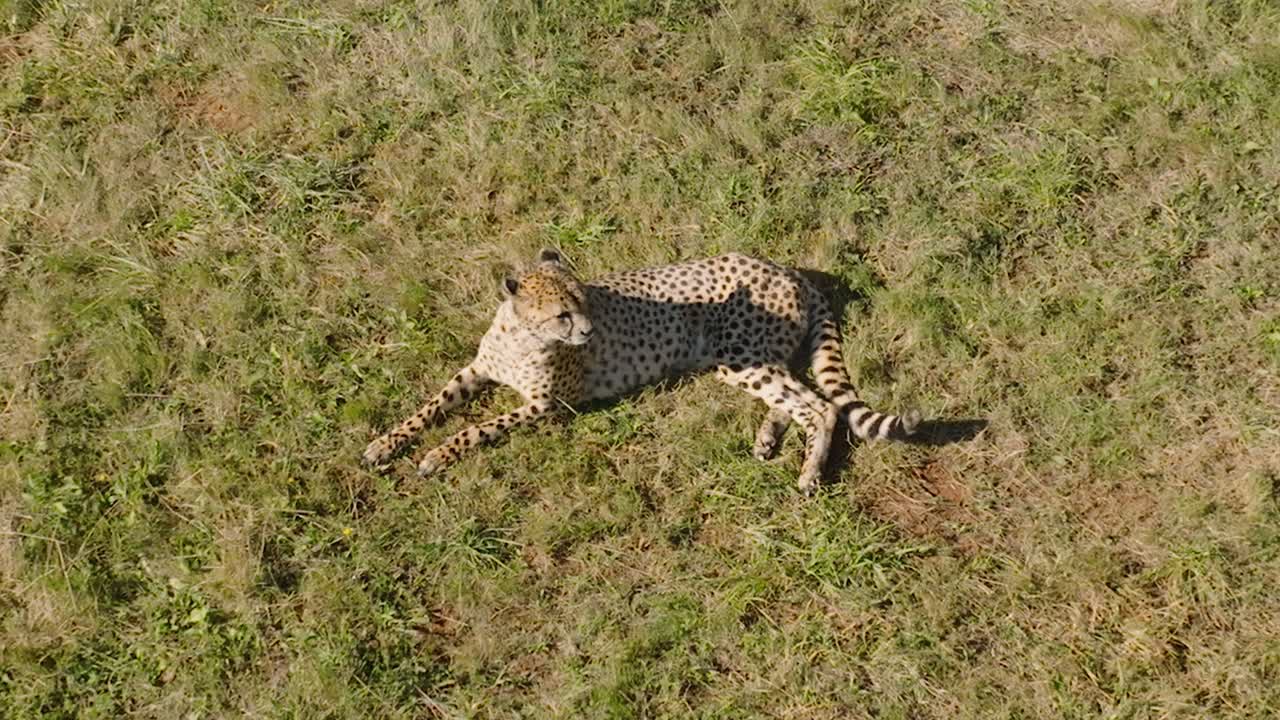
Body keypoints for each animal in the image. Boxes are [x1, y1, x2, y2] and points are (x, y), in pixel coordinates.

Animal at [362, 249, 921, 494]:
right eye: (561, 313)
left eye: (584, 299)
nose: (588, 332)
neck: (525, 337)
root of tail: (785, 269)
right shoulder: (476, 370)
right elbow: (430, 406)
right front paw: (386, 443)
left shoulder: (548, 405)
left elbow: (476, 427)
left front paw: (436, 455)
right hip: (741, 361)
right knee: (795, 398)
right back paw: (768, 437)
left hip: (738, 357)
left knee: (820, 407)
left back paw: (808, 473)